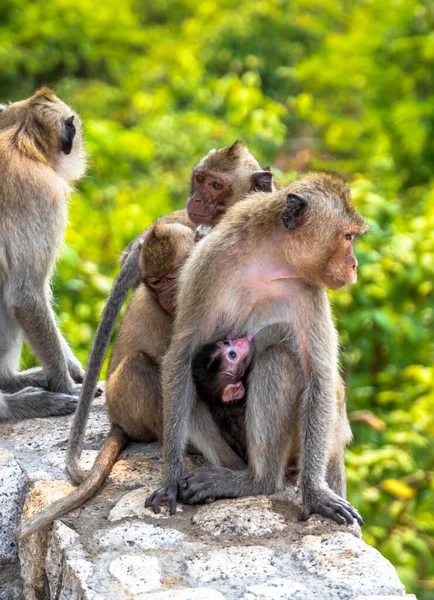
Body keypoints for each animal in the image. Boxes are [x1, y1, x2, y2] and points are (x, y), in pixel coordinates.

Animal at [146, 173, 366, 524]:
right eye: (347, 237)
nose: (354, 265)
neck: (269, 259)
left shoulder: (310, 290)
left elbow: (318, 376)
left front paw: (314, 493)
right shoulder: (209, 263)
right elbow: (181, 354)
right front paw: (170, 479)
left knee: (278, 358)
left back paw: (258, 482)